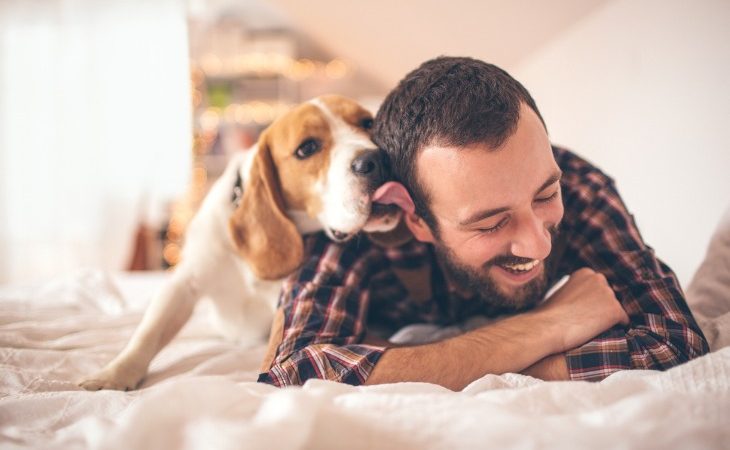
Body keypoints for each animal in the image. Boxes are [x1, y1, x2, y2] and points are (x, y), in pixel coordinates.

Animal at [79, 95, 404, 390]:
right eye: (307, 148)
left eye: (368, 123)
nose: (377, 159)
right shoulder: (184, 283)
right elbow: (149, 332)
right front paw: (114, 374)